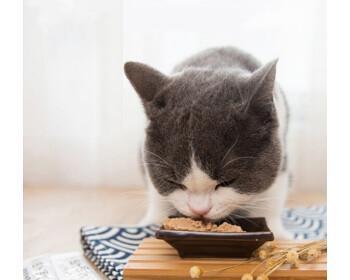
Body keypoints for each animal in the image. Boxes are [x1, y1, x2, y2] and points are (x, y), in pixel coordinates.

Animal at [124, 46, 292, 238]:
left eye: (228, 181)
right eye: (172, 181)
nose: (199, 210)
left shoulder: (279, 152)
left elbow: (271, 193)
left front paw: (276, 232)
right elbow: (157, 194)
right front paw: (152, 222)